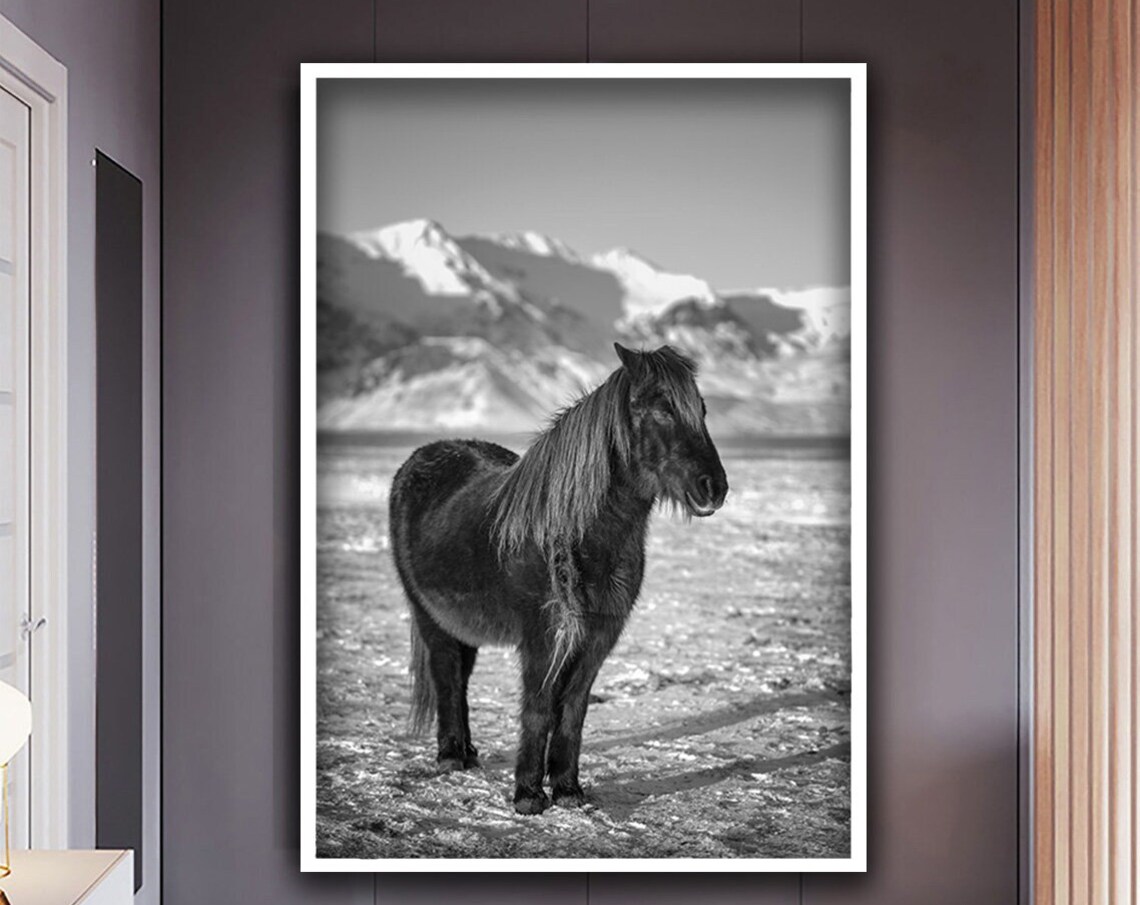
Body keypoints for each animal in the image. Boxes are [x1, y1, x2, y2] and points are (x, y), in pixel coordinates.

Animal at [388, 343, 729, 815]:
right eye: (662, 409)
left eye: (702, 409)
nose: (714, 487)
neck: (578, 533)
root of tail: (419, 460)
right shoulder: (542, 635)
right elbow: (537, 707)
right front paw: (529, 795)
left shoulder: (599, 635)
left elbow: (572, 708)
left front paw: (567, 789)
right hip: (429, 617)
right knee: (446, 677)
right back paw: (451, 756)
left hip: (463, 624)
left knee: (461, 679)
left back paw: (470, 754)